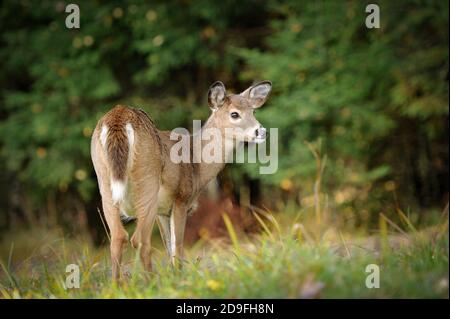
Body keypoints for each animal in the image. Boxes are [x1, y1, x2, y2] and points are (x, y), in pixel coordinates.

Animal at [90, 80, 270, 280]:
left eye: (253, 111)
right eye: (234, 114)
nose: (261, 131)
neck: (196, 164)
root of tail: (118, 117)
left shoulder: (162, 211)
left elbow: (169, 246)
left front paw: (173, 277)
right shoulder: (181, 198)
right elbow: (178, 247)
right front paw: (178, 278)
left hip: (105, 181)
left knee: (117, 237)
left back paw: (116, 284)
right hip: (147, 182)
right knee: (140, 240)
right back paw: (150, 280)